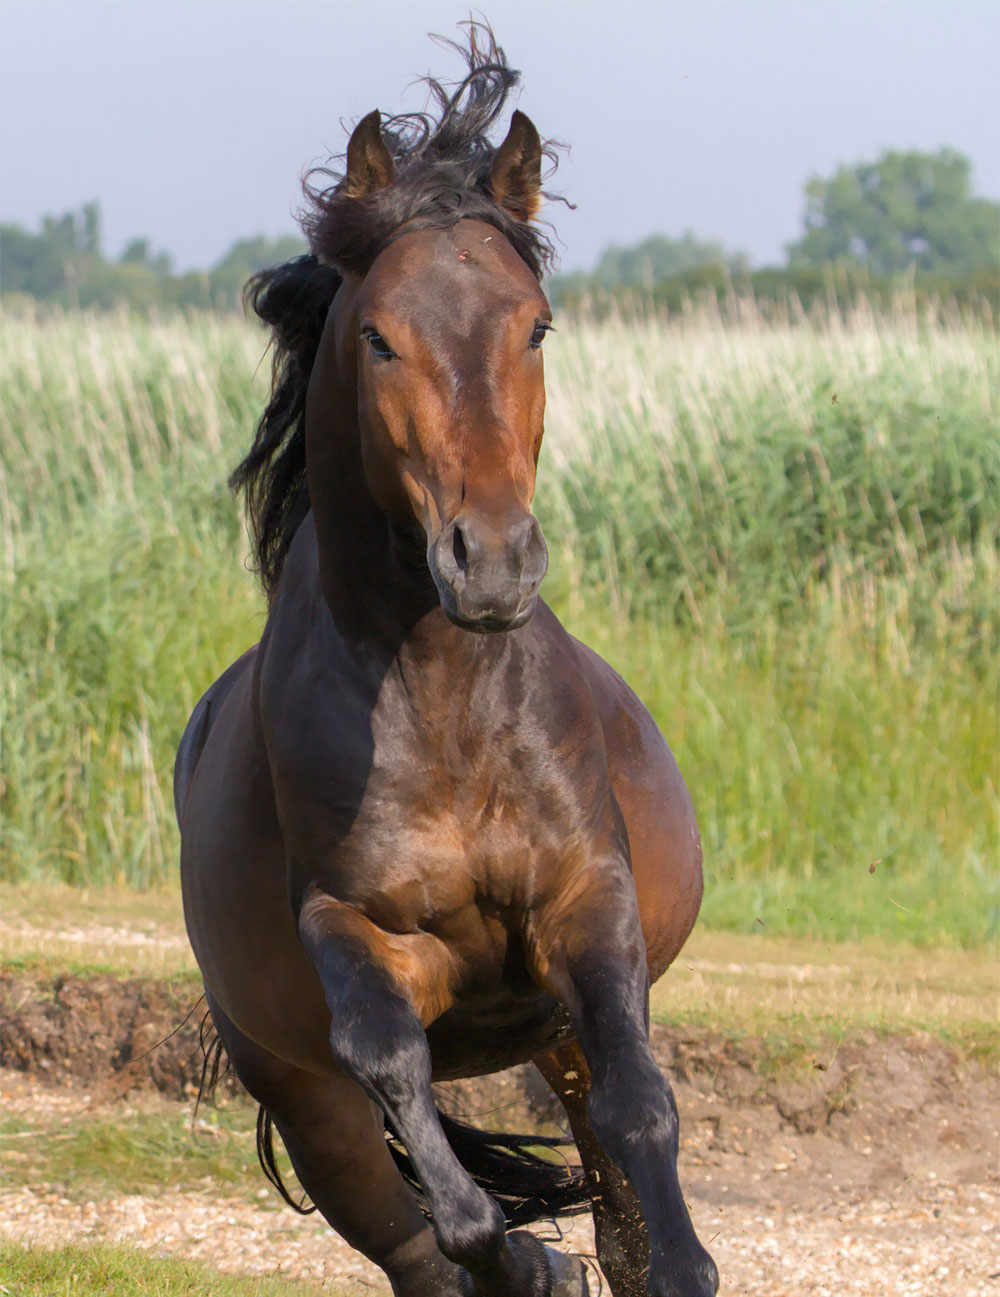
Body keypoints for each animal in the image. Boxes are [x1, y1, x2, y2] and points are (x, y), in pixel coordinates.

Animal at [173, 22, 721, 1297]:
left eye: (536, 326)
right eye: (380, 337)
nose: (492, 564)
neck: (445, 701)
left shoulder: (586, 907)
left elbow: (640, 1109)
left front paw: (679, 1260)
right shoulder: (366, 936)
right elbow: (397, 1078)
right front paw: (525, 1254)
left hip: (553, 1031)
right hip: (304, 1104)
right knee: (409, 1232)